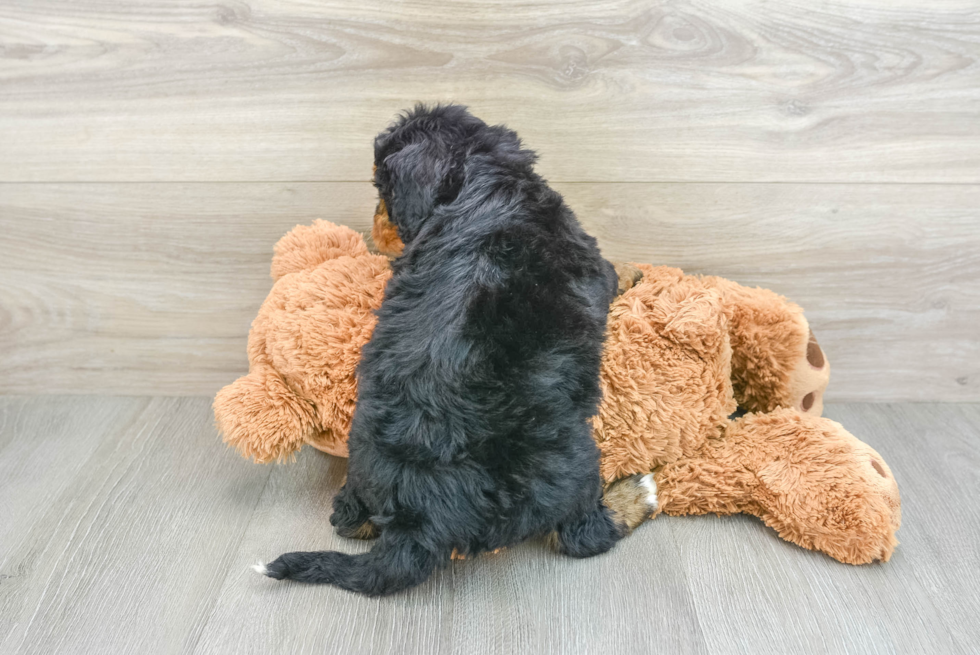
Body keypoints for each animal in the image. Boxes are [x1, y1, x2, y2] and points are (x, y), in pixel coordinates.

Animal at [258, 105, 628, 596]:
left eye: (383, 189)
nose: (375, 227)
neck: (487, 180)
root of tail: (420, 523)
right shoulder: (597, 265)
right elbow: (617, 271)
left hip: (363, 452)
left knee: (348, 517)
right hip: (576, 463)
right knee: (584, 536)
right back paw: (629, 502)